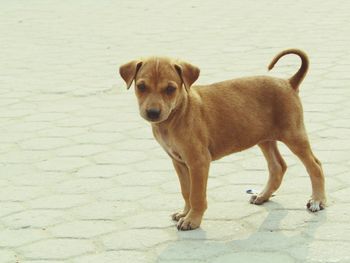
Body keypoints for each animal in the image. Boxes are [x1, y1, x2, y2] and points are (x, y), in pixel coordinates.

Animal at [119, 49, 326, 231]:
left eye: (170, 89)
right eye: (141, 86)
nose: (153, 113)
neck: (177, 114)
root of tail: (289, 82)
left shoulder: (199, 161)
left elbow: (196, 195)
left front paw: (192, 220)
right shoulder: (179, 162)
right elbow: (186, 191)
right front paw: (185, 213)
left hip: (293, 134)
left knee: (315, 165)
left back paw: (317, 200)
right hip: (264, 137)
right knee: (278, 166)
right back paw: (263, 195)